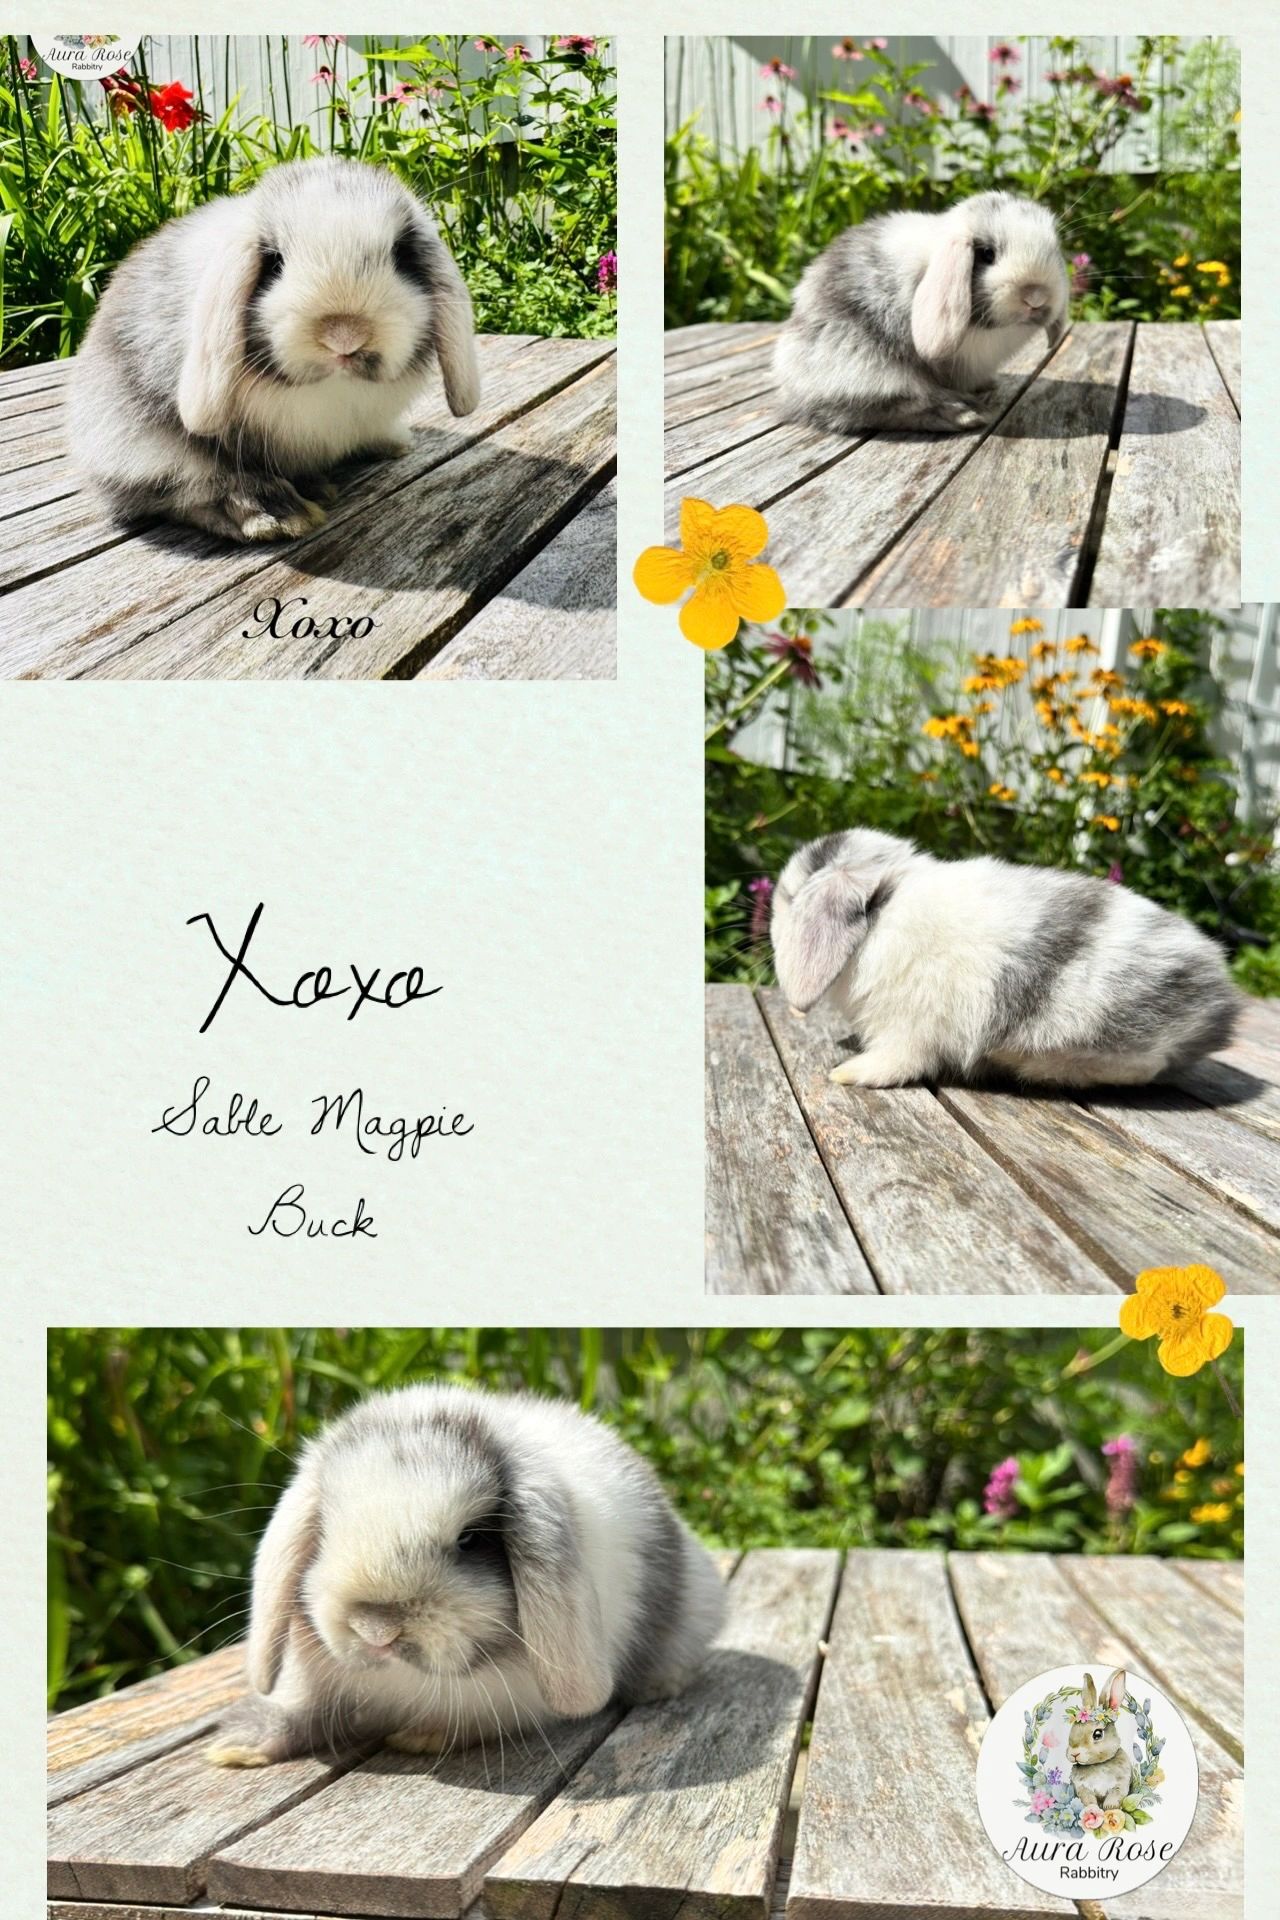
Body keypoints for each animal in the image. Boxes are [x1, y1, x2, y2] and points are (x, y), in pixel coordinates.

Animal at [69, 156, 480, 543]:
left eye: (401, 254)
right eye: (274, 262)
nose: (344, 335)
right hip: (133, 440)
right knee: (183, 485)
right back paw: (276, 513)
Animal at [206, 1383, 727, 1766]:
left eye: (470, 1538)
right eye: (326, 1528)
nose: (376, 1629)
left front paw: (420, 1738)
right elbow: (295, 1709)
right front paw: (234, 1747)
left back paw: (661, 1686)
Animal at [770, 829, 1239, 1089]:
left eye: (789, 897)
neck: (883, 913)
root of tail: (1224, 1005)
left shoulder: (907, 1028)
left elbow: (897, 1062)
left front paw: (846, 1073)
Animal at [773, 191, 1069, 434]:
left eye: (1054, 250)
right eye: (987, 254)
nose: (1036, 297)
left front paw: (986, 383)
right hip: (864, 365)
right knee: (887, 405)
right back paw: (963, 414)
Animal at [1069, 1670, 1134, 1810]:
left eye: (1097, 1734)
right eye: (1072, 1729)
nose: (1074, 1754)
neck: (1098, 1764)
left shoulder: (1121, 1784)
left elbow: (1115, 1795)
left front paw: (1110, 1807)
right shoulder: (1082, 1787)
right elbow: (1088, 1799)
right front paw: (1092, 1808)